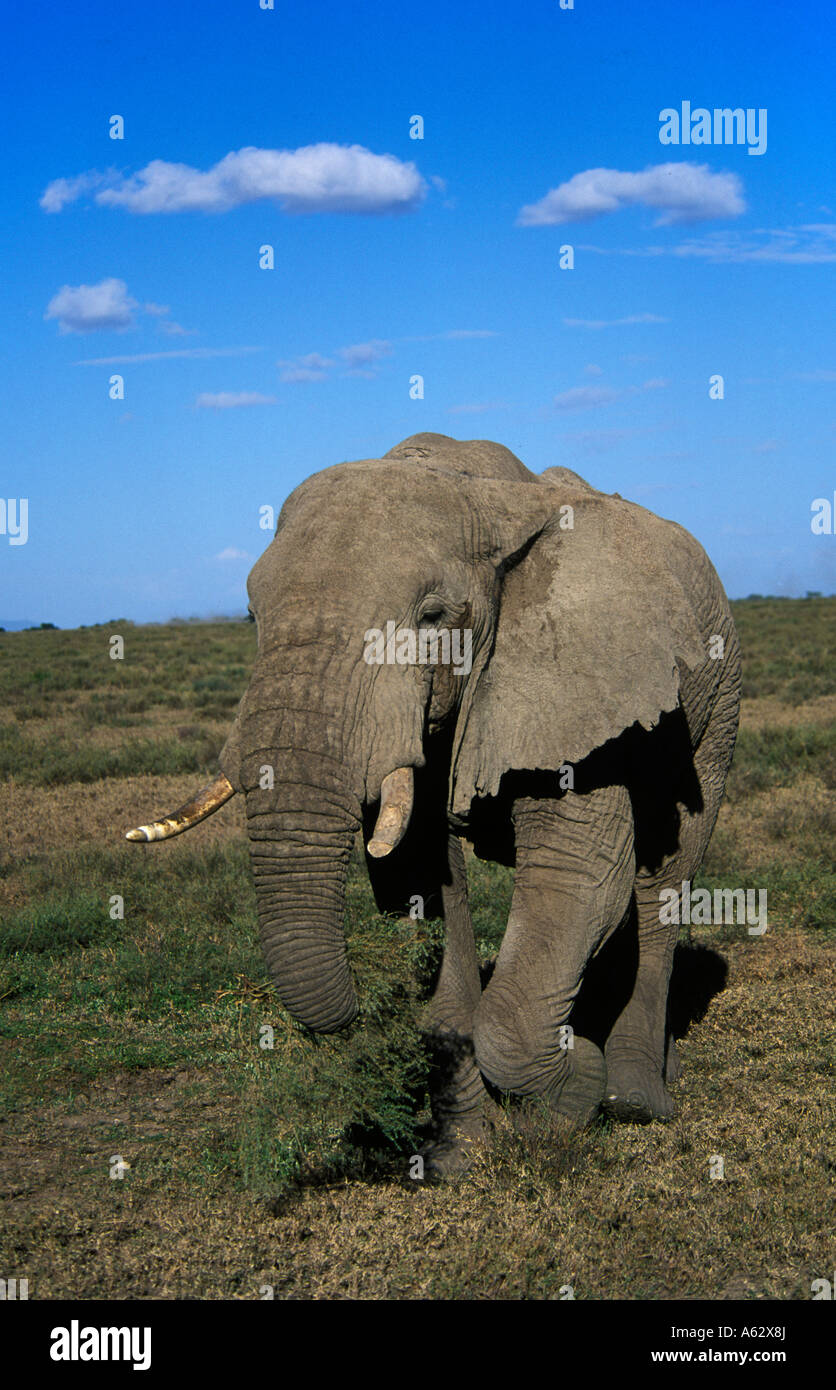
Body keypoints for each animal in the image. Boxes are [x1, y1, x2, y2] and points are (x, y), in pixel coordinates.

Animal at [127, 432, 740, 1173]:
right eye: (250, 616)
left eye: (433, 617)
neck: (476, 494)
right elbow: (419, 881)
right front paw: (462, 1150)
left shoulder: (572, 683)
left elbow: (578, 881)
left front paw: (566, 1104)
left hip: (720, 702)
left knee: (663, 881)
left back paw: (634, 1099)